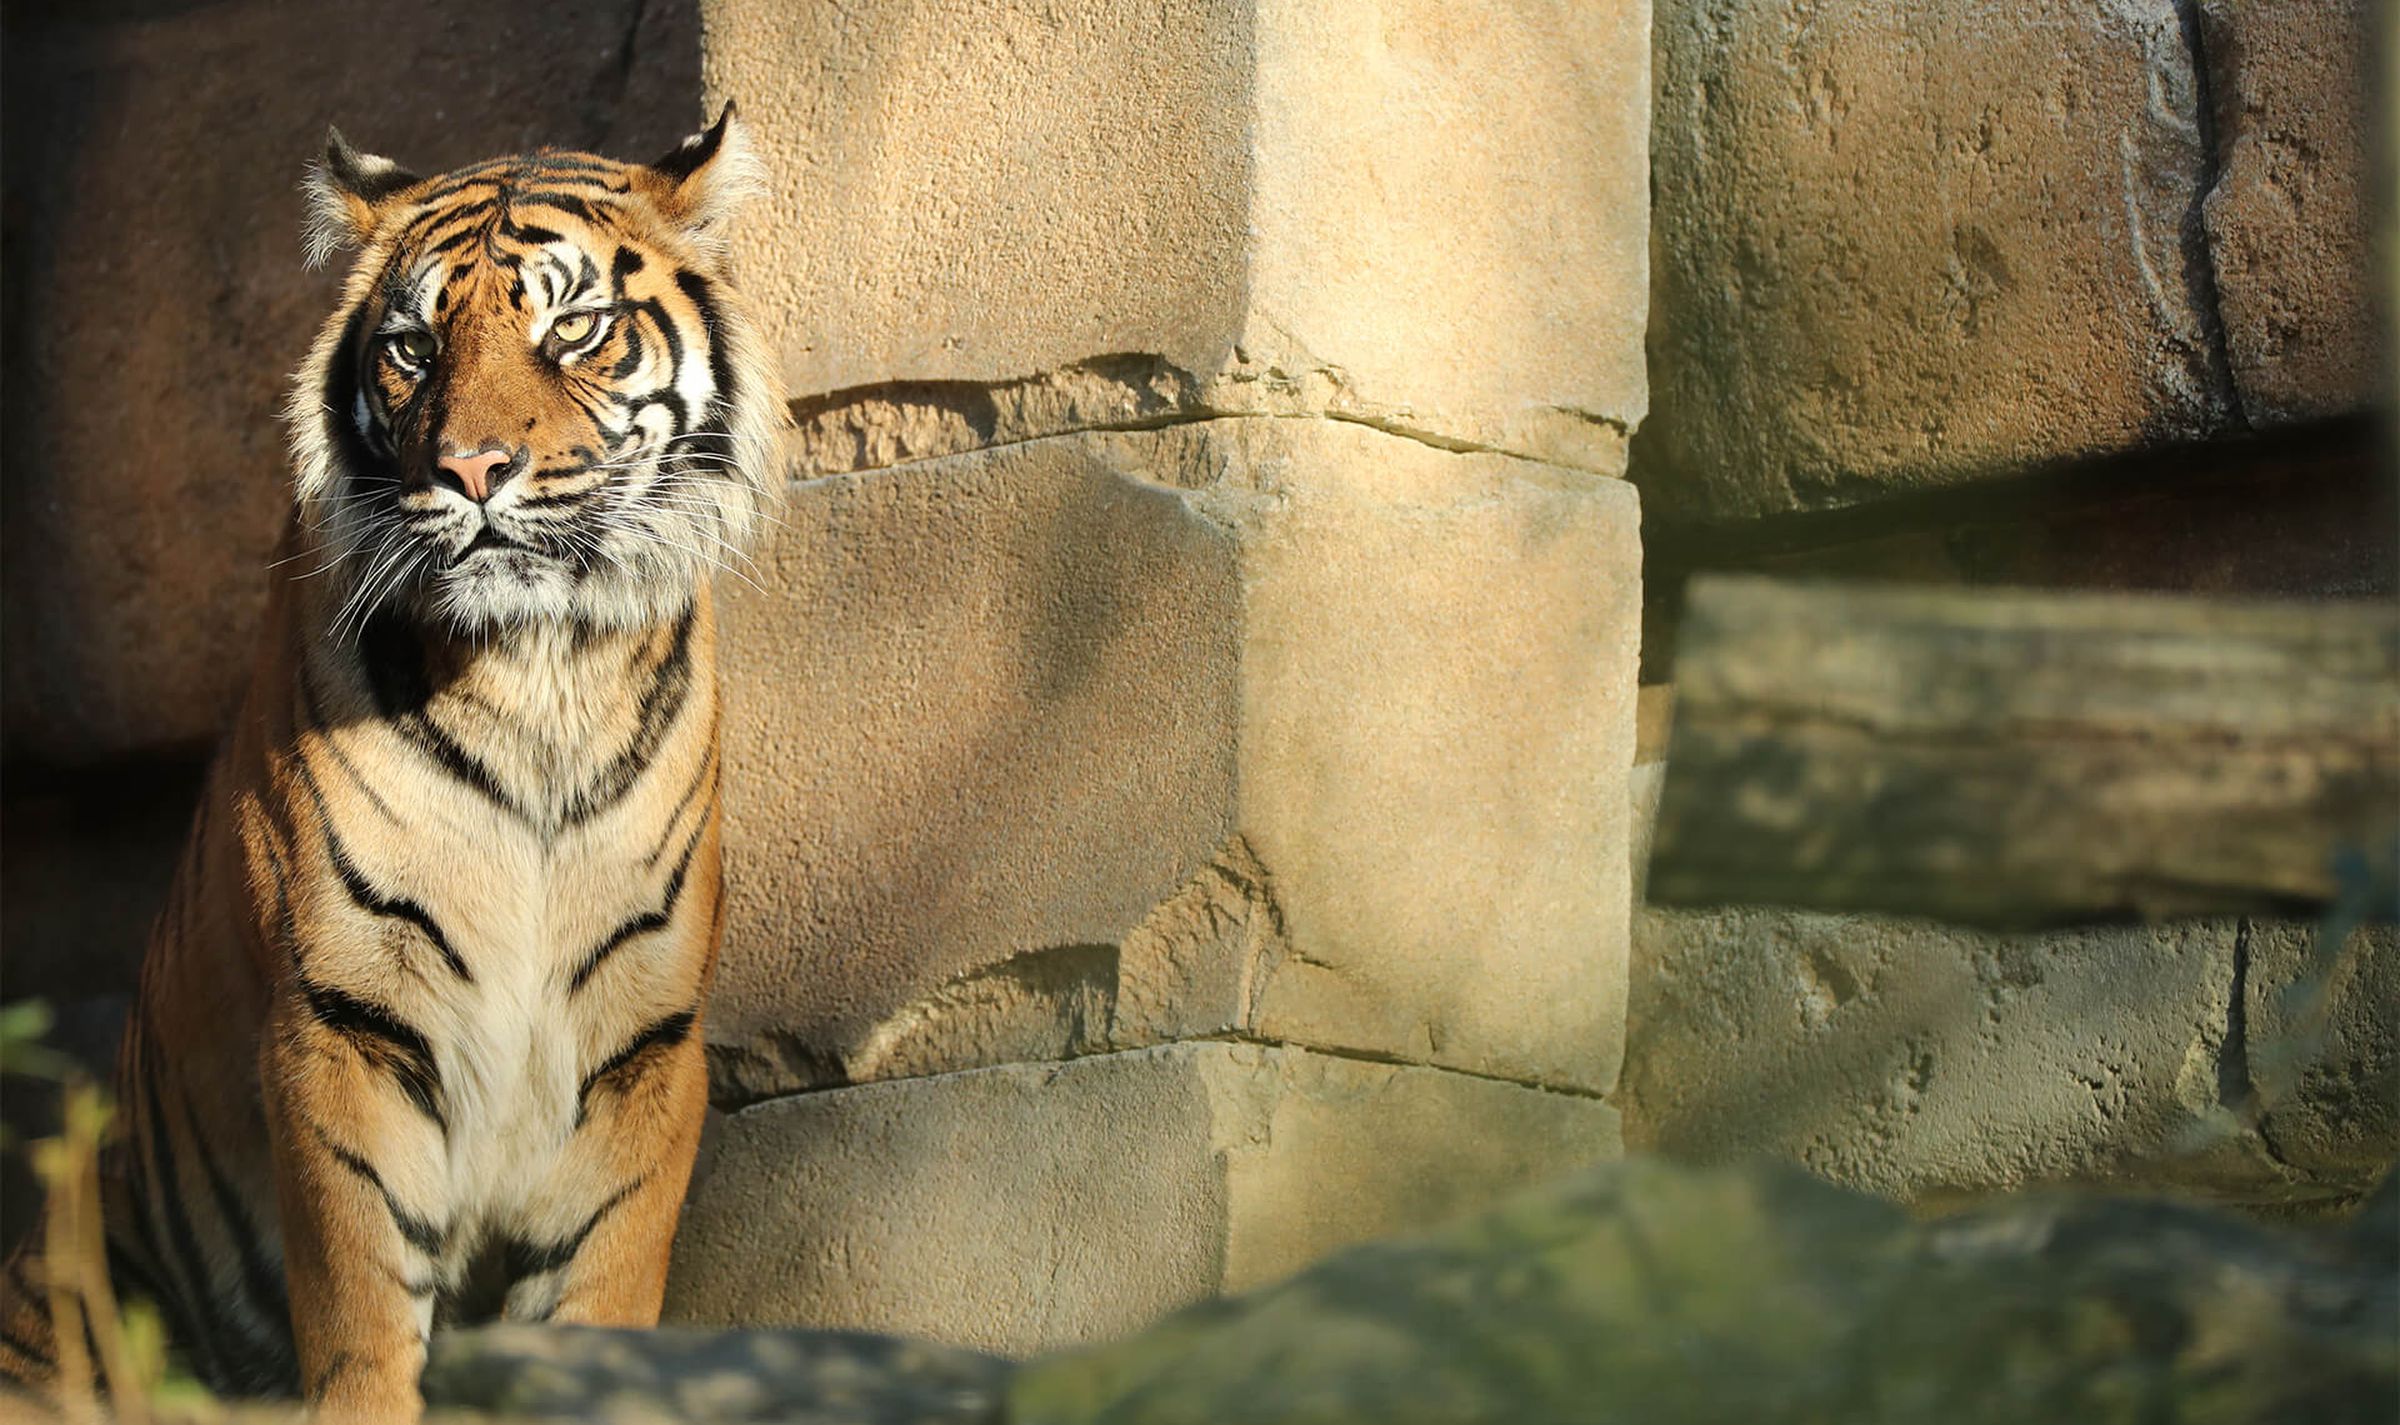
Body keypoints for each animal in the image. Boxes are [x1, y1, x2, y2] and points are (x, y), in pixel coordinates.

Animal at [0, 105, 782, 1410]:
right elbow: (362, 1299)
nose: (470, 470)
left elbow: (603, 1281)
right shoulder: (344, 1016)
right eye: (413, 348)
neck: (539, 675)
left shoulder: (644, 1035)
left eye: (573, 328)